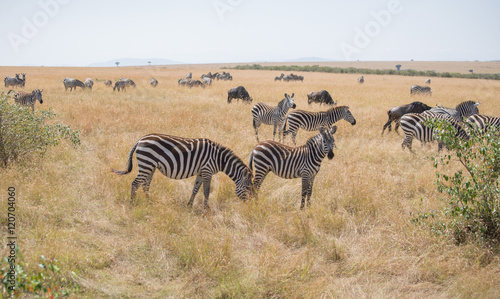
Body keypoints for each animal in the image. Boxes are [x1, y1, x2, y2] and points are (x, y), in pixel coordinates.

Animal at [112, 134, 254, 209]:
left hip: (150, 166)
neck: (219, 159)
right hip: (146, 164)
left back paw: (149, 202)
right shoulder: (207, 171)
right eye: (248, 187)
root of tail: (140, 140)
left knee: (145, 185)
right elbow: (206, 191)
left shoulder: (201, 172)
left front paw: (189, 205)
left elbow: (195, 189)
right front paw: (206, 209)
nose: (250, 205)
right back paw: (132, 204)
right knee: (135, 183)